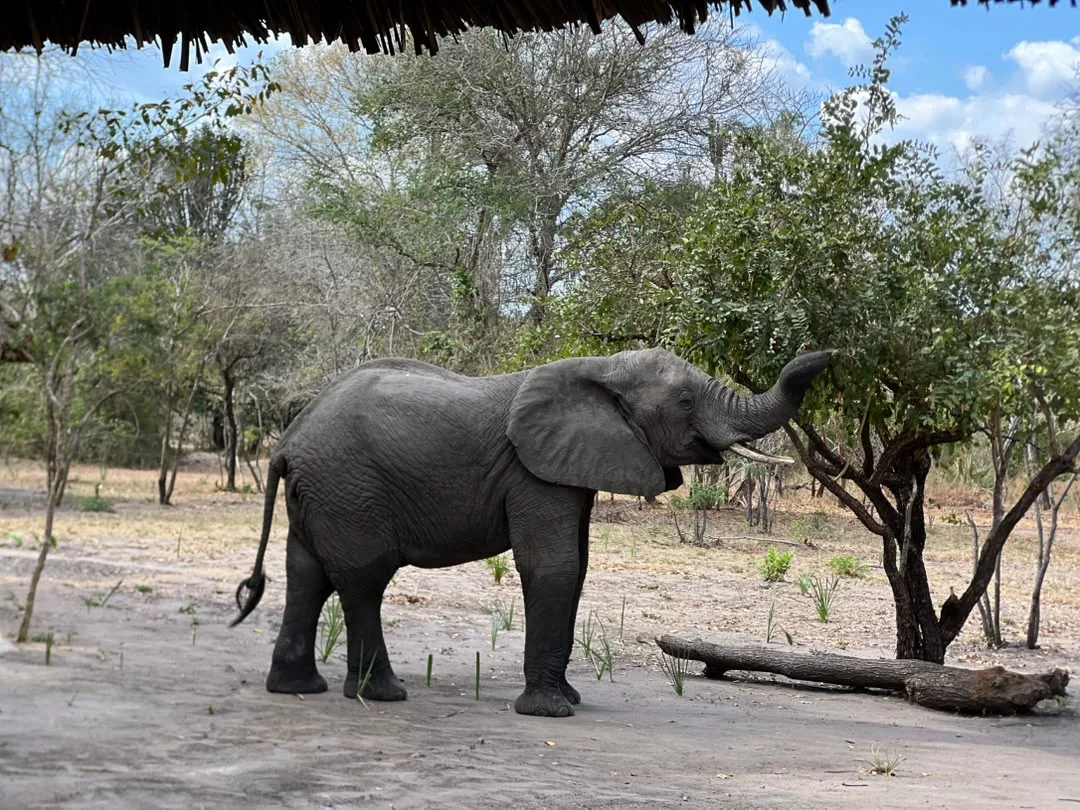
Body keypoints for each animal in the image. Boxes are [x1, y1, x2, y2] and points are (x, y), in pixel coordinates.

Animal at [230, 347, 831, 718]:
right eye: (685, 402)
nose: (828, 354)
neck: (601, 371)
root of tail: (288, 441)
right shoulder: (533, 471)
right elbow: (554, 566)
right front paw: (552, 712)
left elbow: (578, 567)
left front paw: (570, 698)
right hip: (350, 488)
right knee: (362, 579)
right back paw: (381, 695)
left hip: (324, 491)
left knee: (306, 575)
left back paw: (299, 689)